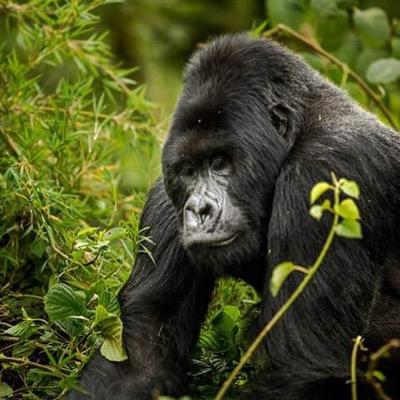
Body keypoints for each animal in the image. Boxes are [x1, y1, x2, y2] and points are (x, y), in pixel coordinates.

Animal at [66, 34, 400, 400]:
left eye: (220, 163)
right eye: (188, 170)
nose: (198, 210)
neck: (301, 128)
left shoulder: (330, 168)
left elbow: (303, 365)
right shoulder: (165, 201)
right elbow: (140, 366)